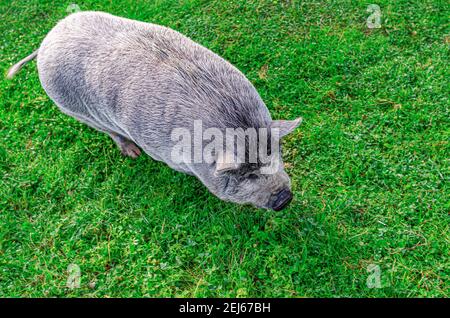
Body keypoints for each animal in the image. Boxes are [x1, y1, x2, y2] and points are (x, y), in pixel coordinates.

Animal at [7, 11, 302, 211]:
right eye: (247, 175)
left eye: (275, 154)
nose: (284, 198)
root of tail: (45, 42)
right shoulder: (162, 150)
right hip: (73, 109)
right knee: (108, 131)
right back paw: (132, 153)